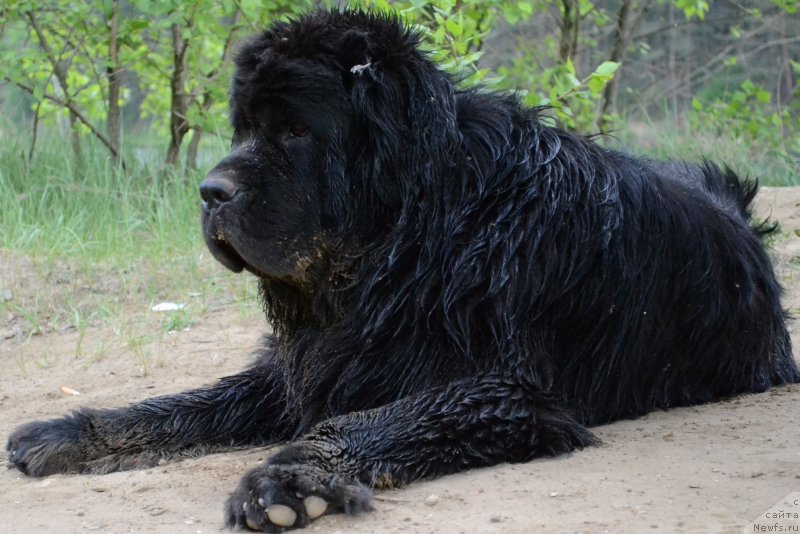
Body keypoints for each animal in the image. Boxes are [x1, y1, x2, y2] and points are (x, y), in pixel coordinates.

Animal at [7, 7, 800, 532]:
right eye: (245, 130)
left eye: (294, 130)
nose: (210, 192)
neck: (421, 233)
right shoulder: (314, 364)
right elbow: (185, 404)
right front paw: (73, 433)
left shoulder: (504, 390)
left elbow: (377, 419)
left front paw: (292, 478)